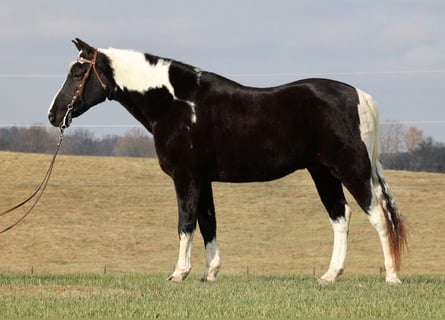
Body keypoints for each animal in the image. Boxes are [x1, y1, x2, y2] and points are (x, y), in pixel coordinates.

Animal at [47, 38, 406, 284]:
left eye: (78, 72)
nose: (53, 115)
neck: (177, 104)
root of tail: (360, 97)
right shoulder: (203, 179)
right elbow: (209, 223)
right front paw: (210, 273)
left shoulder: (186, 176)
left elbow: (186, 222)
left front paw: (179, 273)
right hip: (323, 173)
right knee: (340, 217)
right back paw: (330, 275)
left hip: (351, 169)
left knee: (377, 215)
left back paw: (391, 276)